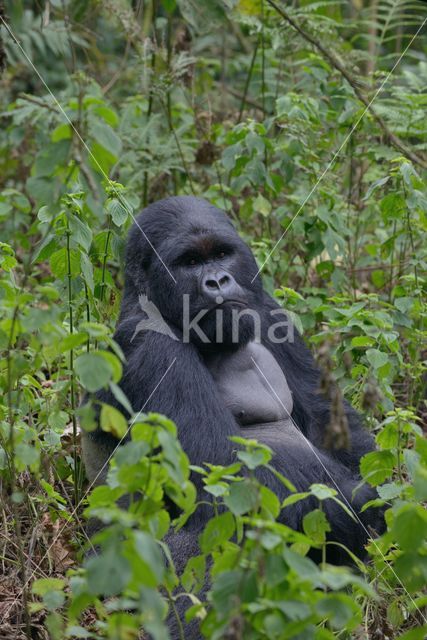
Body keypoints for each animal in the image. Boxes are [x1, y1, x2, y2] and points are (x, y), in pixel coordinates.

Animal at [82, 196, 382, 636]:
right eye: (190, 262)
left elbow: (330, 427)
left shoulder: (268, 310)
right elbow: (221, 472)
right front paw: (361, 504)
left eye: (222, 254)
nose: (219, 282)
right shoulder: (151, 349)